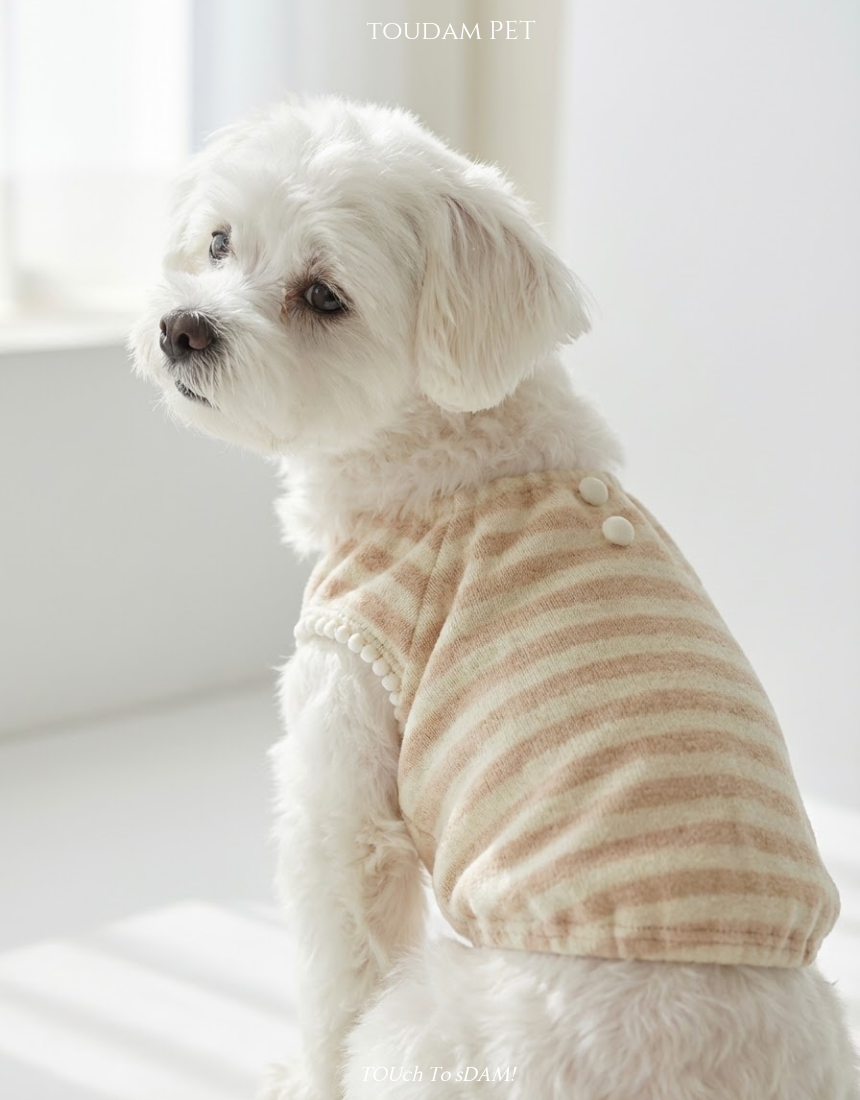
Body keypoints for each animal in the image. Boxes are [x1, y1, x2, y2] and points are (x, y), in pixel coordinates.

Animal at [131, 97, 859, 1100]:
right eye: (218, 242)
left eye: (323, 297)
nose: (184, 328)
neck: (454, 459)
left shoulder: (342, 778)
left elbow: (334, 979)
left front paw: (300, 1077)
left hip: (428, 1021)